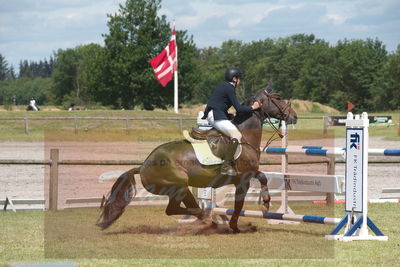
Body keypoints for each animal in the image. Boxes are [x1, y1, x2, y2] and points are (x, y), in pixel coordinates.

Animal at [97, 82, 296, 233]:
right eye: (278, 97)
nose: (294, 116)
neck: (245, 135)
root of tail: (143, 166)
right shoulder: (244, 177)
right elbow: (253, 188)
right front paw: (262, 207)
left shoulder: (243, 178)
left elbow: (258, 182)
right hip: (179, 185)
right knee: (176, 209)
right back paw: (207, 218)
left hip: (181, 189)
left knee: (180, 208)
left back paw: (208, 220)